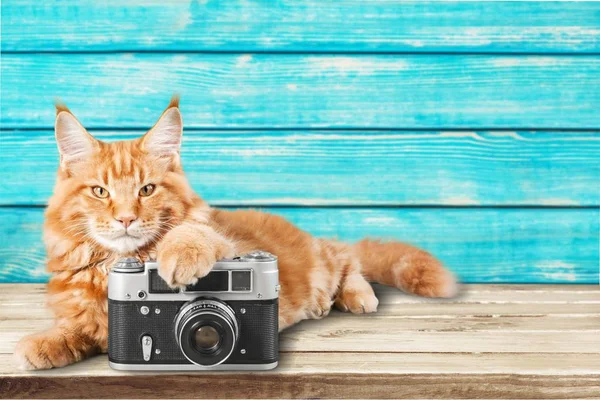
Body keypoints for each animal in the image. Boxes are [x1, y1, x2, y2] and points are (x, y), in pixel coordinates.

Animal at [12, 96, 454, 368]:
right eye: (100, 192)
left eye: (147, 190)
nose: (125, 219)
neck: (116, 266)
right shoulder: (92, 315)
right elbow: (76, 328)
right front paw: (41, 345)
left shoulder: (223, 243)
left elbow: (190, 237)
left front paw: (178, 258)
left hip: (323, 262)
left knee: (346, 257)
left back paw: (358, 295)